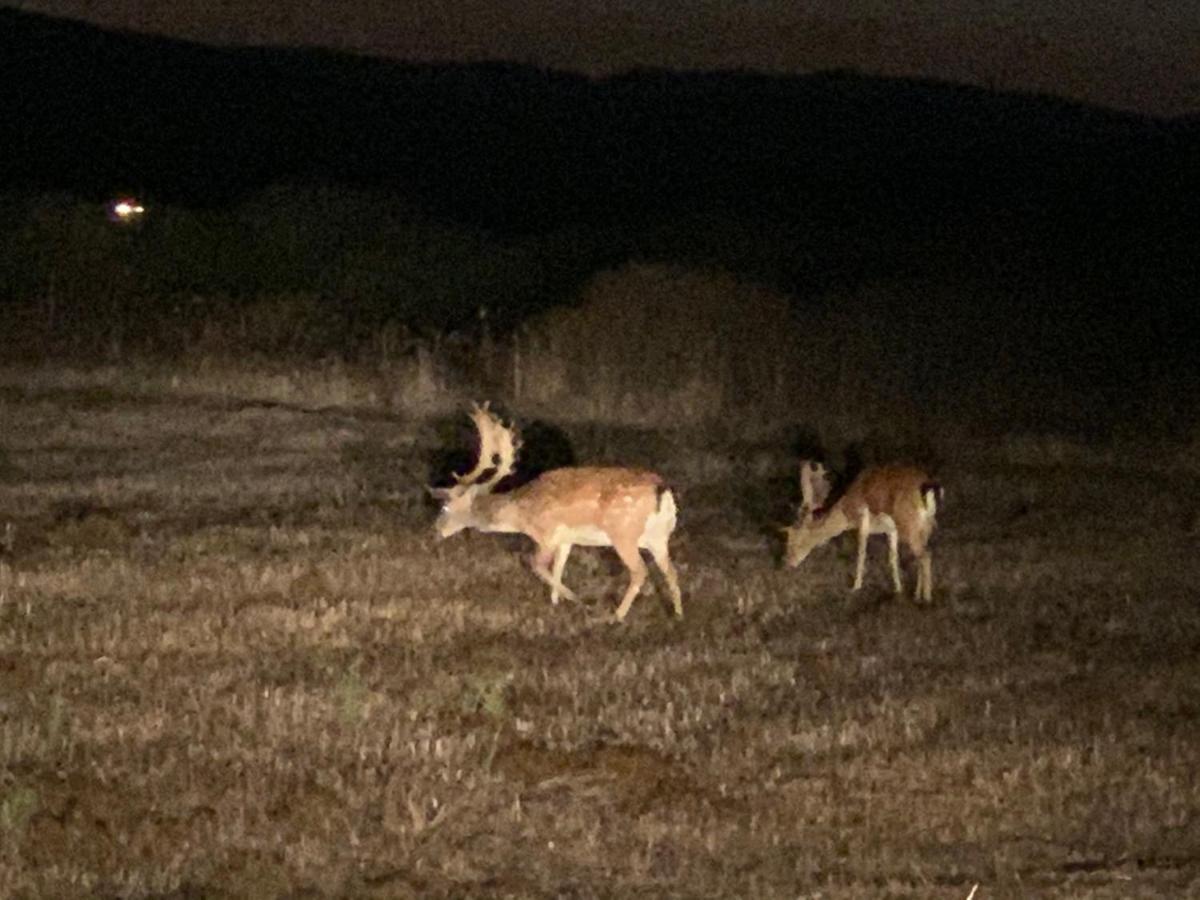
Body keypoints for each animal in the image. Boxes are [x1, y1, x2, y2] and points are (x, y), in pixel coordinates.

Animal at [432, 405, 681, 624]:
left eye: (445, 507)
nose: (436, 531)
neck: (521, 513)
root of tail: (661, 489)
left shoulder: (546, 534)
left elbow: (537, 564)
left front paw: (577, 599)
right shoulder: (565, 540)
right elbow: (558, 568)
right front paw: (555, 603)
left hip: (624, 533)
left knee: (640, 571)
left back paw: (617, 616)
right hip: (658, 537)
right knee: (671, 571)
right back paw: (678, 614)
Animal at [782, 460, 940, 602]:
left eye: (796, 540)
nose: (789, 563)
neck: (846, 514)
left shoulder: (863, 518)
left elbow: (861, 552)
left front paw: (855, 587)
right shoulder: (891, 529)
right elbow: (893, 558)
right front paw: (898, 589)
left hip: (909, 526)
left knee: (926, 556)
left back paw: (927, 599)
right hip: (925, 527)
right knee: (922, 557)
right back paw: (916, 595)